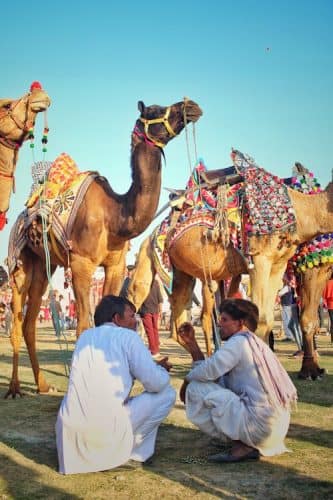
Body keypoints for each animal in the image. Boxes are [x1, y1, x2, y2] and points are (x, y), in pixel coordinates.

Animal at [6, 97, 201, 396]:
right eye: (154, 110)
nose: (191, 106)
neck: (114, 216)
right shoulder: (81, 263)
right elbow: (84, 325)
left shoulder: (115, 265)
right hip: (20, 262)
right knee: (16, 320)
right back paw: (15, 387)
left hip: (44, 265)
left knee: (29, 322)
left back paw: (42, 384)